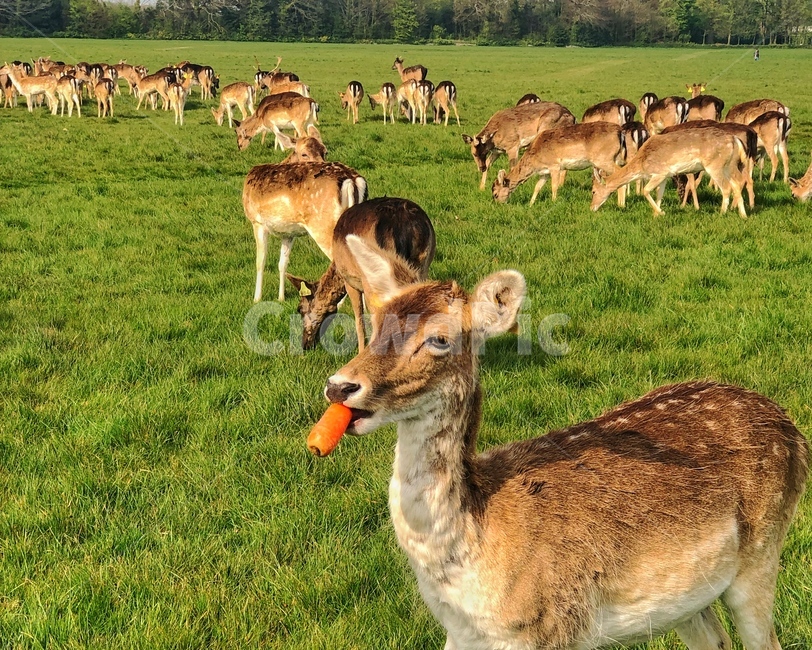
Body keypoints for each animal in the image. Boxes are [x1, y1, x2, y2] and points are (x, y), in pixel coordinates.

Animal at [243, 161, 367, 302]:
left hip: (324, 227)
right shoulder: (288, 233)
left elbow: (260, 261)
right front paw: (281, 298)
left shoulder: (257, 222)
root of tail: (352, 180)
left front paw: (257, 298)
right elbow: (282, 263)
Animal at [317, 237, 809, 650]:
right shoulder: (460, 635)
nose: (340, 386)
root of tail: (793, 430)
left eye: (439, 339)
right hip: (687, 598)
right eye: (377, 323)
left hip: (762, 553)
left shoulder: (550, 628)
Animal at [492, 122, 627, 207]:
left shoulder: (555, 166)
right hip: (615, 158)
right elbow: (537, 187)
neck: (535, 158)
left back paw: (620, 205)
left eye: (495, 194)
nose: (498, 205)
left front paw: (553, 201)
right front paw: (530, 204)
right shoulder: (544, 172)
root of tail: (620, 131)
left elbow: (554, 186)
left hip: (603, 159)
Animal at [591, 125, 749, 218]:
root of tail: (735, 139)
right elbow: (659, 194)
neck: (641, 165)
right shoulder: (666, 176)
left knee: (726, 187)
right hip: (729, 165)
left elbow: (646, 191)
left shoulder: (659, 172)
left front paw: (661, 212)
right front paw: (656, 214)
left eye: (593, 191)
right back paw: (743, 215)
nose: (591, 207)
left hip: (714, 165)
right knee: (737, 183)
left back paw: (722, 213)